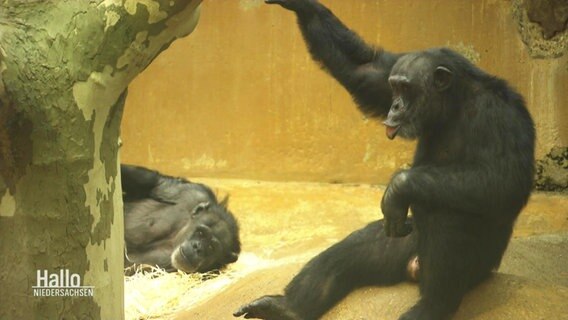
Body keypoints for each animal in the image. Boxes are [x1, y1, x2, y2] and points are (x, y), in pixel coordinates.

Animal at [233, 0, 536, 320]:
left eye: (407, 88)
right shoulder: (385, 73)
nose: (395, 105)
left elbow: (504, 179)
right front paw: (302, 5)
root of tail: (414, 266)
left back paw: (431, 306)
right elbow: (364, 69)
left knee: (444, 210)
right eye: (394, 87)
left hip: (477, 266)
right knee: (358, 247)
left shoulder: (500, 116)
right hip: (403, 241)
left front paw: (398, 187)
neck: (454, 102)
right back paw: (287, 308)